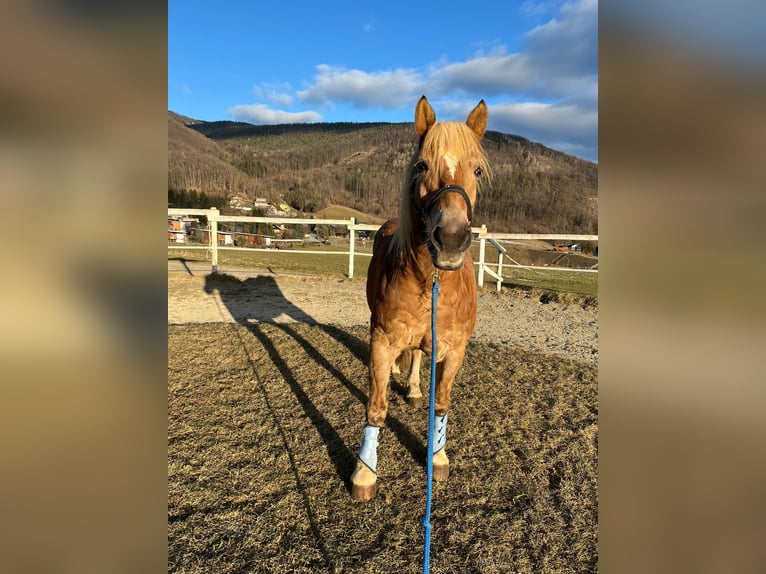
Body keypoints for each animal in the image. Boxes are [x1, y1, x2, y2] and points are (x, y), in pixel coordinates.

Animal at [354, 97, 492, 502]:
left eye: (477, 169)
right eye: (421, 165)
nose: (451, 238)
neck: (431, 279)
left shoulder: (455, 349)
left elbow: (441, 404)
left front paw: (438, 456)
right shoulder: (381, 342)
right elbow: (376, 407)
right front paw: (364, 473)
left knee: (417, 354)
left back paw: (416, 389)